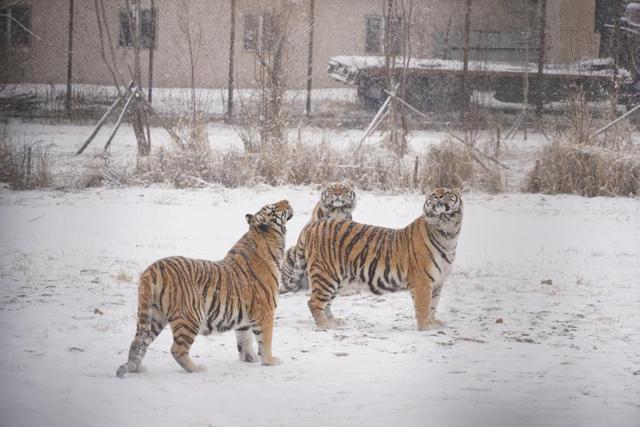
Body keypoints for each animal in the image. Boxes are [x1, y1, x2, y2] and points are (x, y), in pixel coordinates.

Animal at [116, 201, 294, 378]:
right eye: (273, 208)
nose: (287, 201)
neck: (267, 238)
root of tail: (152, 269)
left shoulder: (244, 318)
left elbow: (245, 340)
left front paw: (250, 359)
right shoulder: (265, 311)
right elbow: (265, 339)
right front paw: (270, 361)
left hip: (154, 315)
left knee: (139, 342)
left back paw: (136, 368)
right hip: (189, 317)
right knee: (177, 349)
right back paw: (197, 368)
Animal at [288, 189, 462, 332]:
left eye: (447, 192)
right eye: (433, 194)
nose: (439, 197)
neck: (448, 232)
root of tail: (311, 226)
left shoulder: (438, 282)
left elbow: (433, 305)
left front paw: (434, 323)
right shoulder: (422, 282)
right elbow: (424, 306)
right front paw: (425, 327)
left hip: (336, 278)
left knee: (326, 303)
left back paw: (334, 321)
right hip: (326, 275)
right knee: (314, 302)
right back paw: (325, 325)